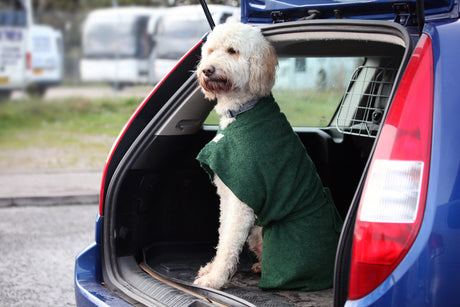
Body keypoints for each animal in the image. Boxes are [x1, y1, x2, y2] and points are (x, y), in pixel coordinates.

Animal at [194, 22, 276, 292]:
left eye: (232, 51)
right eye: (210, 51)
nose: (207, 70)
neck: (239, 111)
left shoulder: (242, 200)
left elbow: (230, 240)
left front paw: (215, 279)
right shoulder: (228, 195)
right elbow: (223, 236)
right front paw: (212, 268)